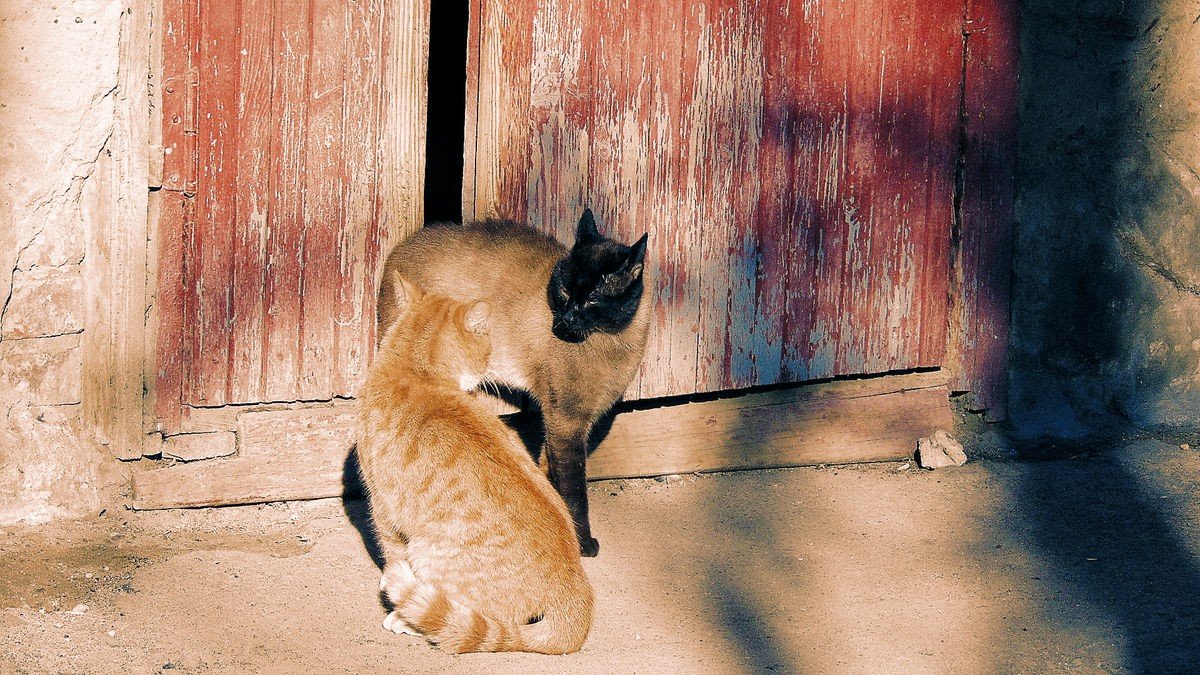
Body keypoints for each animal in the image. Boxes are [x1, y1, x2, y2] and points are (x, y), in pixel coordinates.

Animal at [357, 271, 597, 653]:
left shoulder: (383, 510)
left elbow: (391, 553)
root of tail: (576, 585)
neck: (416, 372)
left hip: (428, 552)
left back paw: (406, 616)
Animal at [379, 208, 652, 552]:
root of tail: (400, 249)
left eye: (592, 300)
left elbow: (549, 470)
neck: (613, 342)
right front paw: (583, 543)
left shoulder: (563, 423)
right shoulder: (566, 422)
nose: (567, 318)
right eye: (565, 291)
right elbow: (574, 490)